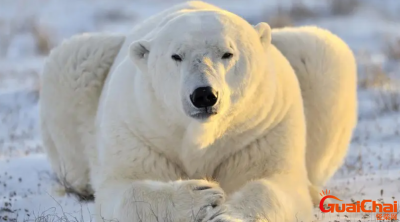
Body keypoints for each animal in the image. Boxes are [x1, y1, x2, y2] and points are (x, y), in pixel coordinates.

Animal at [39, 0, 356, 221]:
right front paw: (202, 196)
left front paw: (228, 214)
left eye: (227, 53)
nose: (204, 95)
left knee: (322, 50)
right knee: (74, 58)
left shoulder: (263, 128)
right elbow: (124, 187)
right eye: (176, 56)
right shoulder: (138, 128)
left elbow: (274, 182)